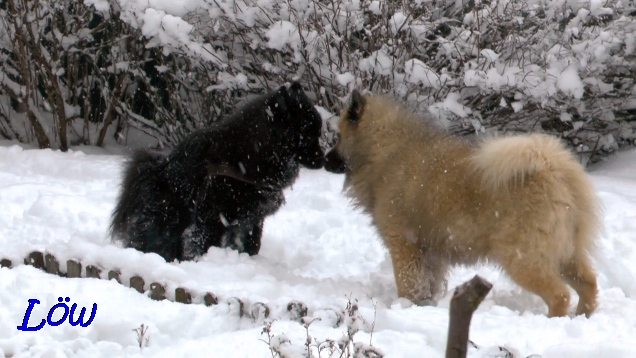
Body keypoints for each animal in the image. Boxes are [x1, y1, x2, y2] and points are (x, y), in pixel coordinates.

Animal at [110, 84, 326, 262]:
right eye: (309, 134)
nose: (324, 159)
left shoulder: (253, 217)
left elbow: (252, 243)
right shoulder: (213, 214)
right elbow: (203, 241)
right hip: (168, 215)